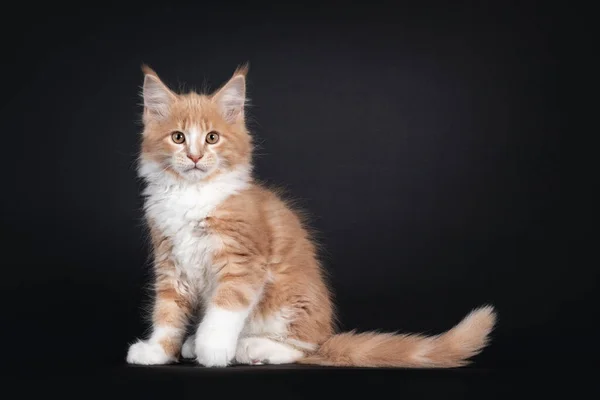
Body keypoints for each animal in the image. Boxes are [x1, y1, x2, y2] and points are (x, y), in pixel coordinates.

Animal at [124, 64, 494, 368]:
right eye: (178, 137)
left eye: (212, 138)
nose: (195, 156)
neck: (193, 195)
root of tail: (327, 332)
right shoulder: (170, 263)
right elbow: (167, 313)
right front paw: (157, 351)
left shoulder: (243, 262)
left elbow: (225, 308)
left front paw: (213, 349)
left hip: (289, 304)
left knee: (304, 348)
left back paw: (250, 347)